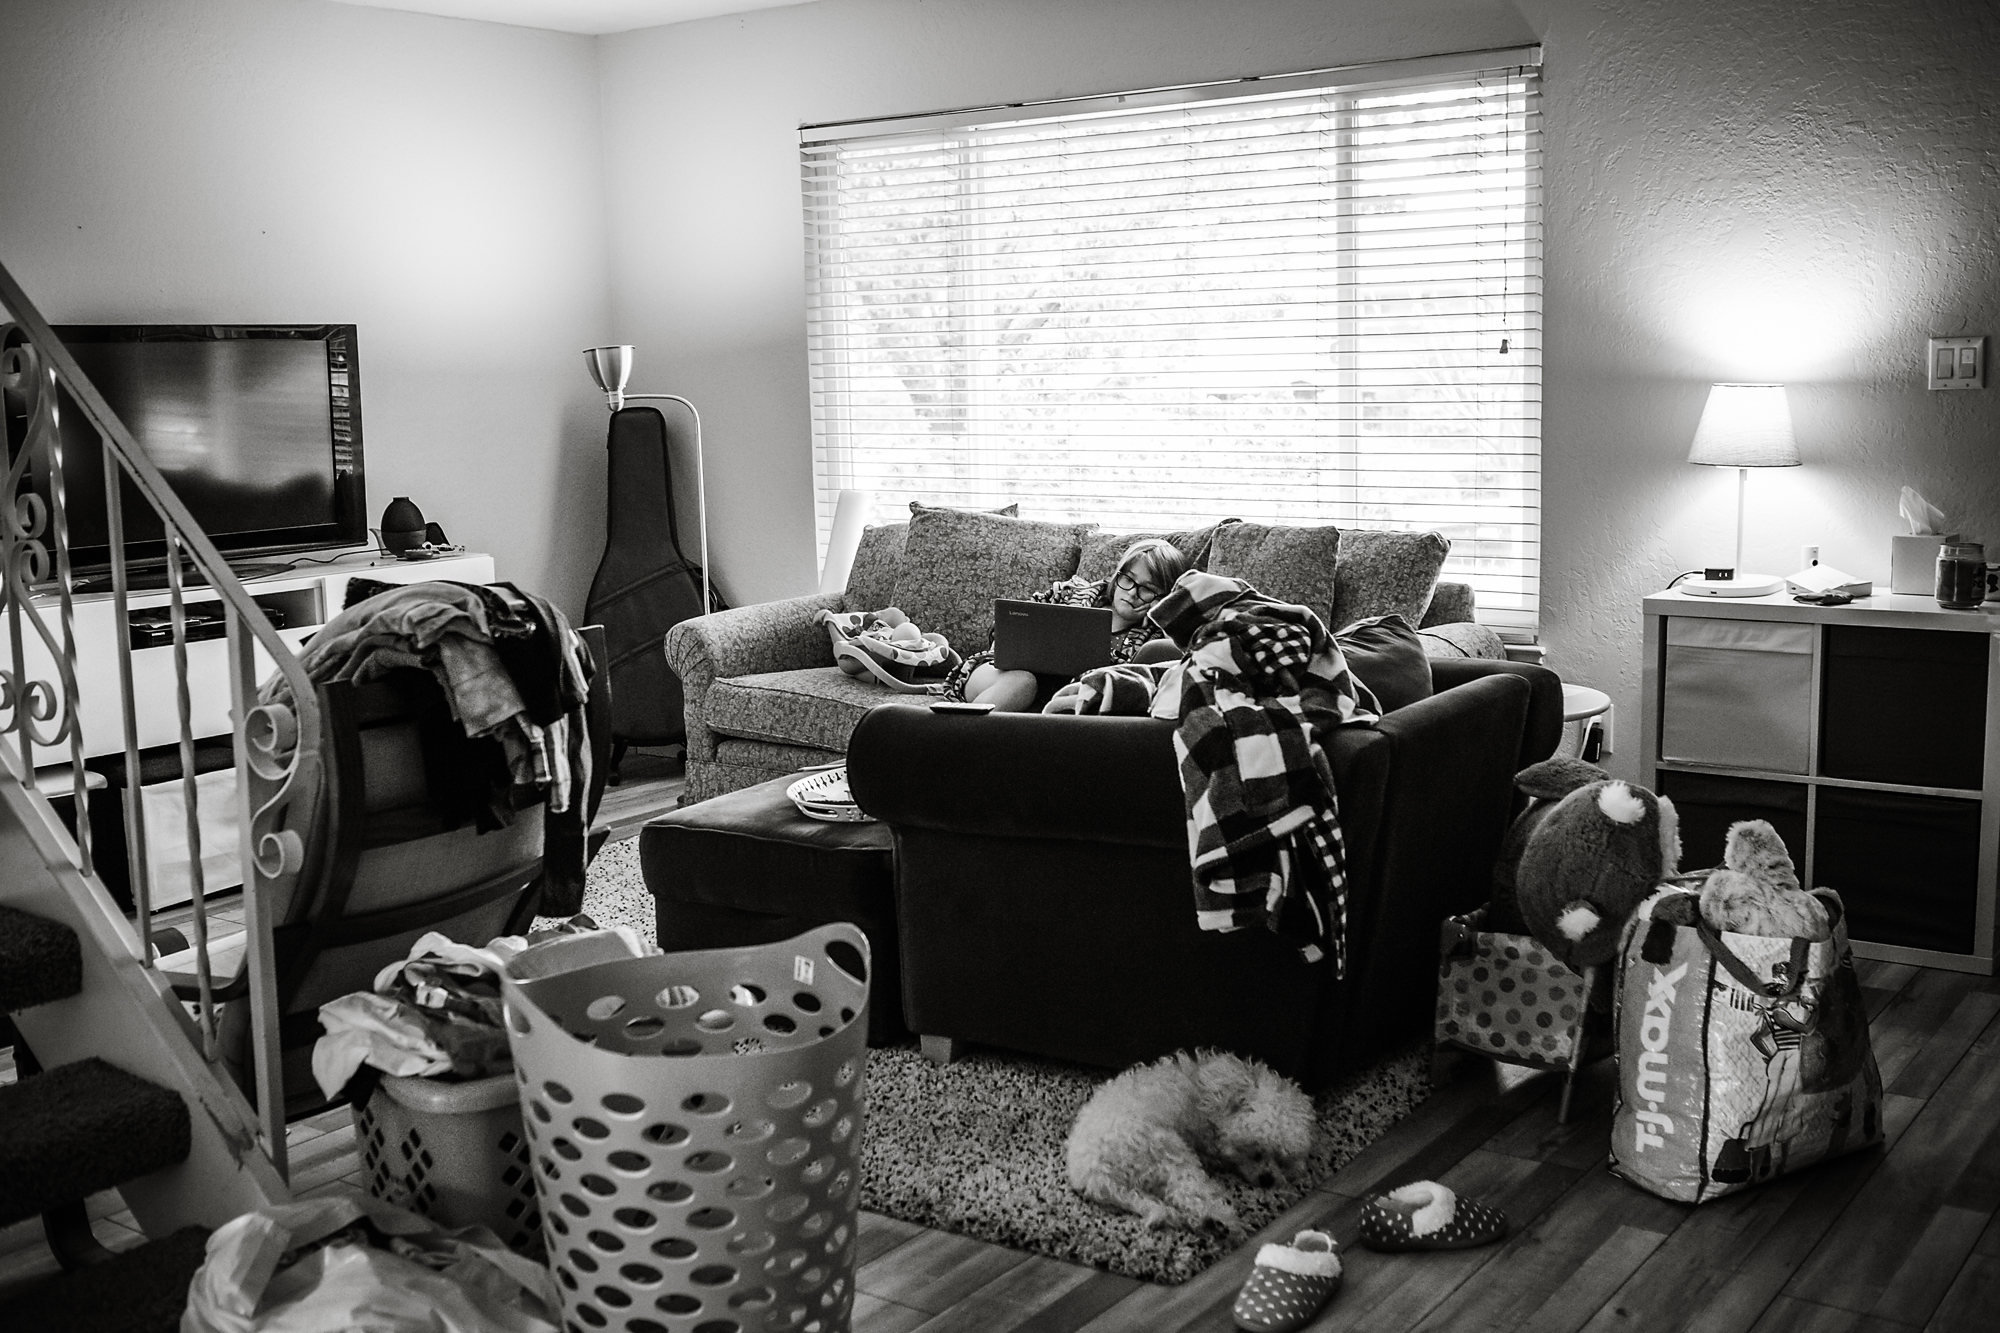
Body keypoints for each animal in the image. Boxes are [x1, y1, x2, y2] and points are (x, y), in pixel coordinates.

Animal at [1064, 1048, 1312, 1232]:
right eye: (1256, 1151)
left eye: (1282, 1159)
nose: (1267, 1179)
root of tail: (1094, 1173)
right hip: (1168, 1149)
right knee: (1188, 1195)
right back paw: (1221, 1220)